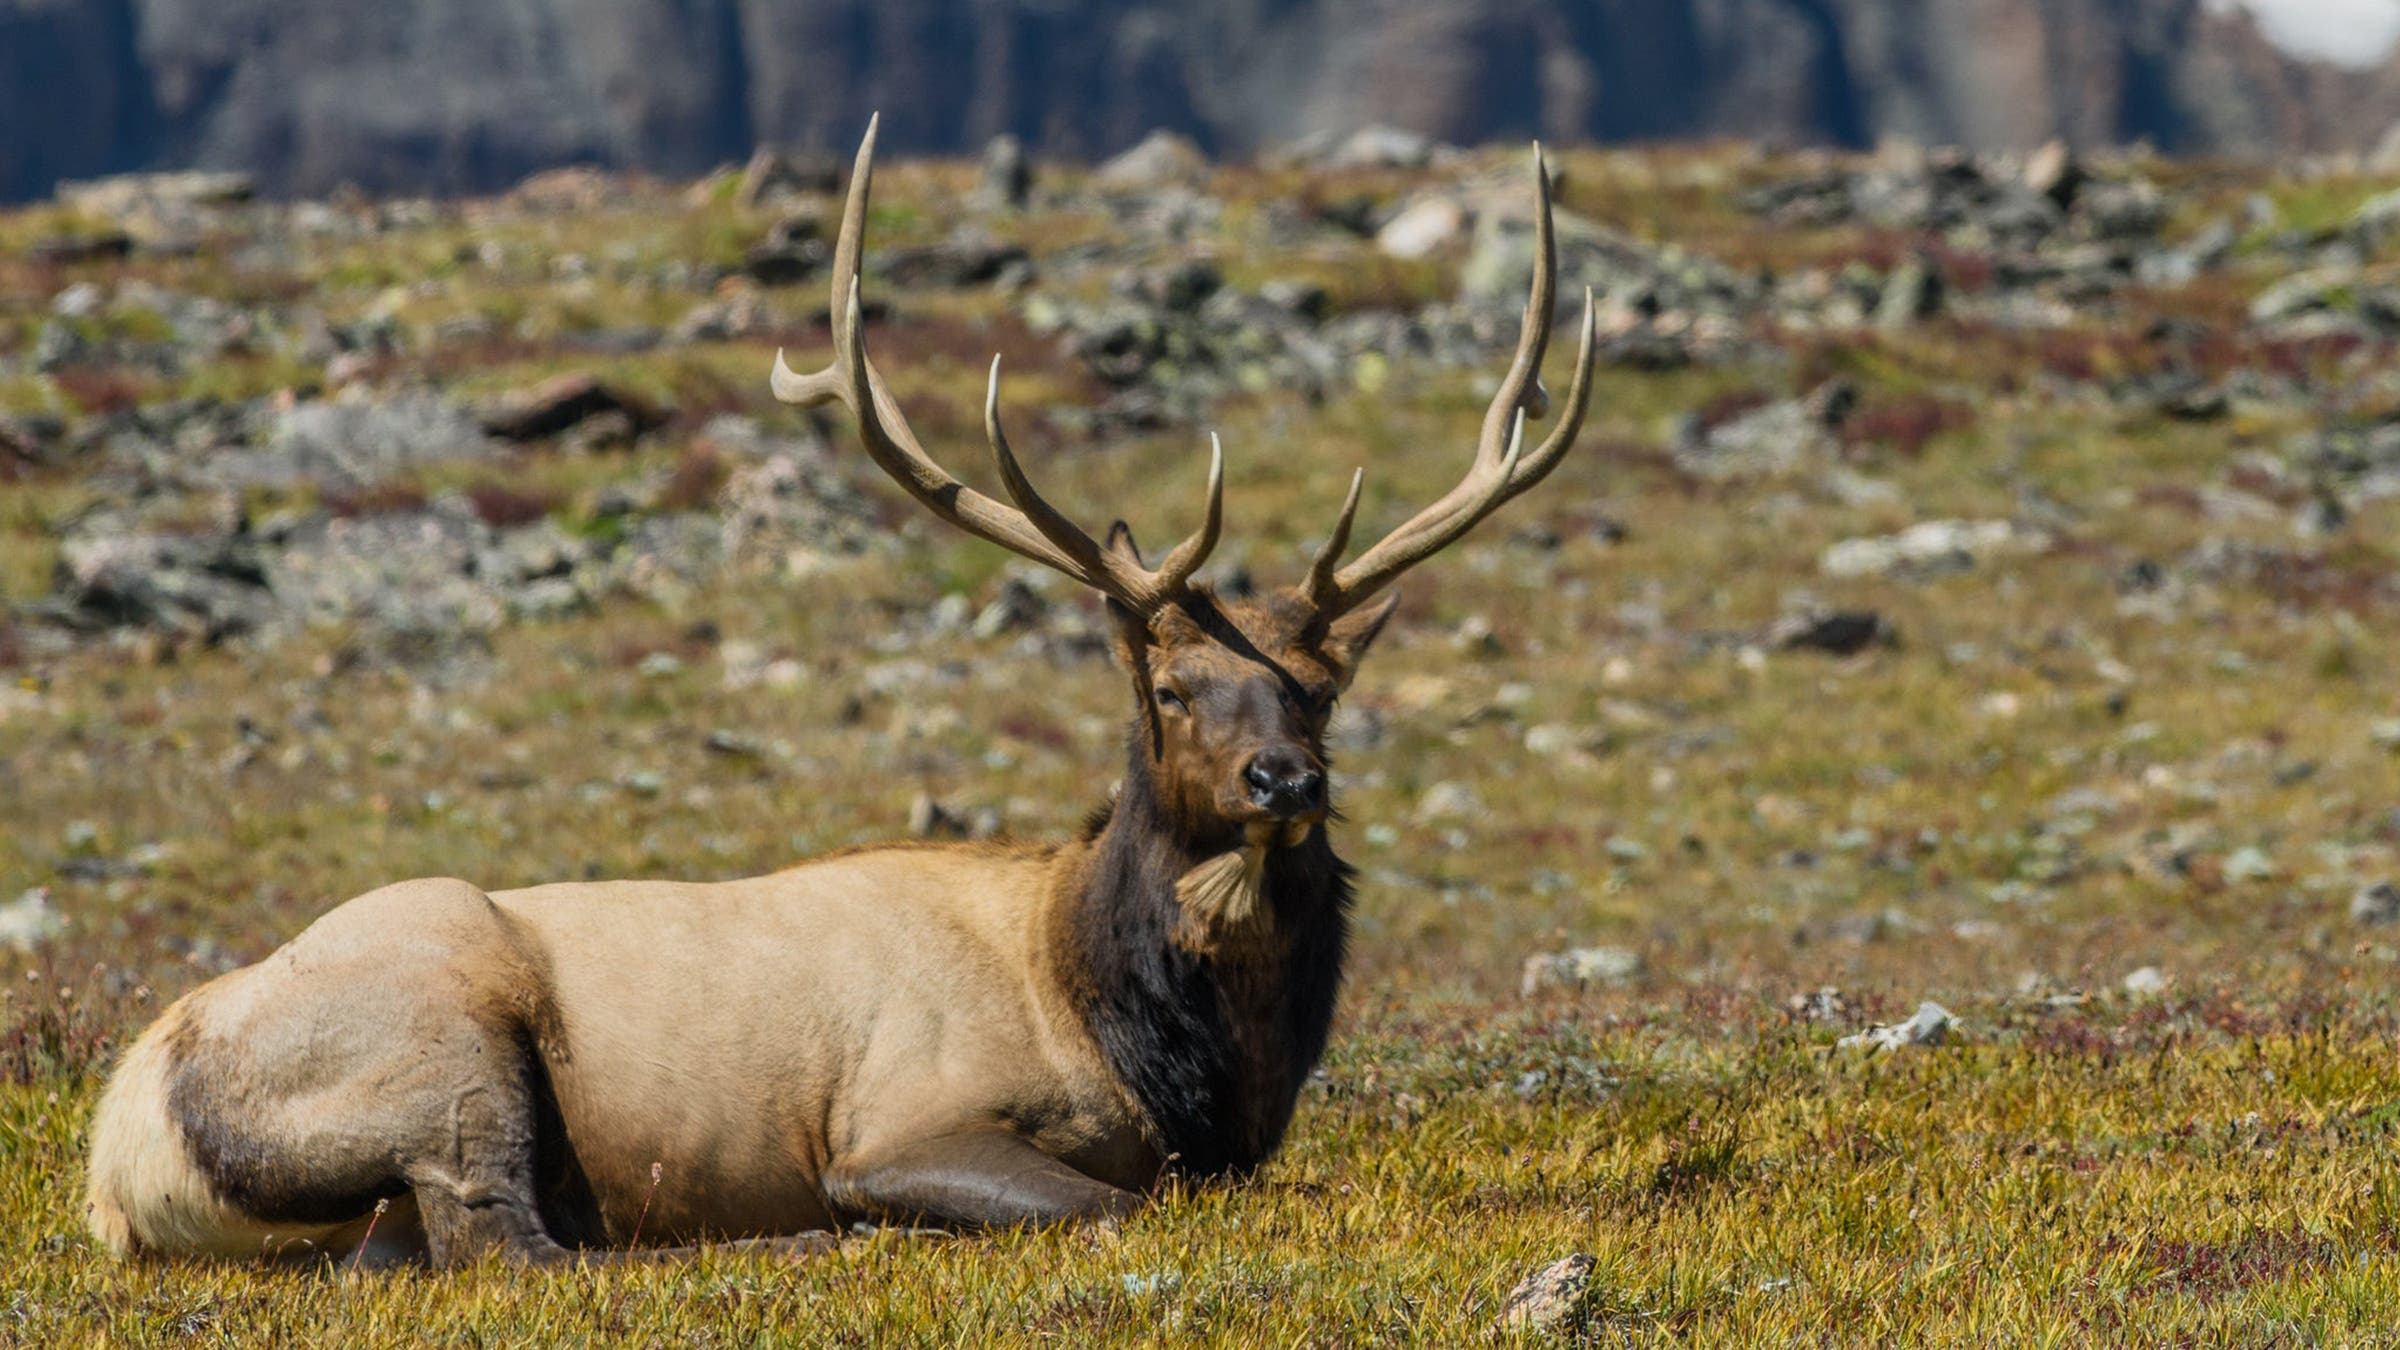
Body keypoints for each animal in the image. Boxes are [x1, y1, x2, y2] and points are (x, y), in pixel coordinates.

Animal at [83, 117, 1596, 1267]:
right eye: (1170, 684)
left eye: (1323, 690)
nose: (1288, 779)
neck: (1146, 1044)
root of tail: (118, 1155)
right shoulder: (900, 1118)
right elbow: (1114, 1201)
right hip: (437, 1046)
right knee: (505, 1238)